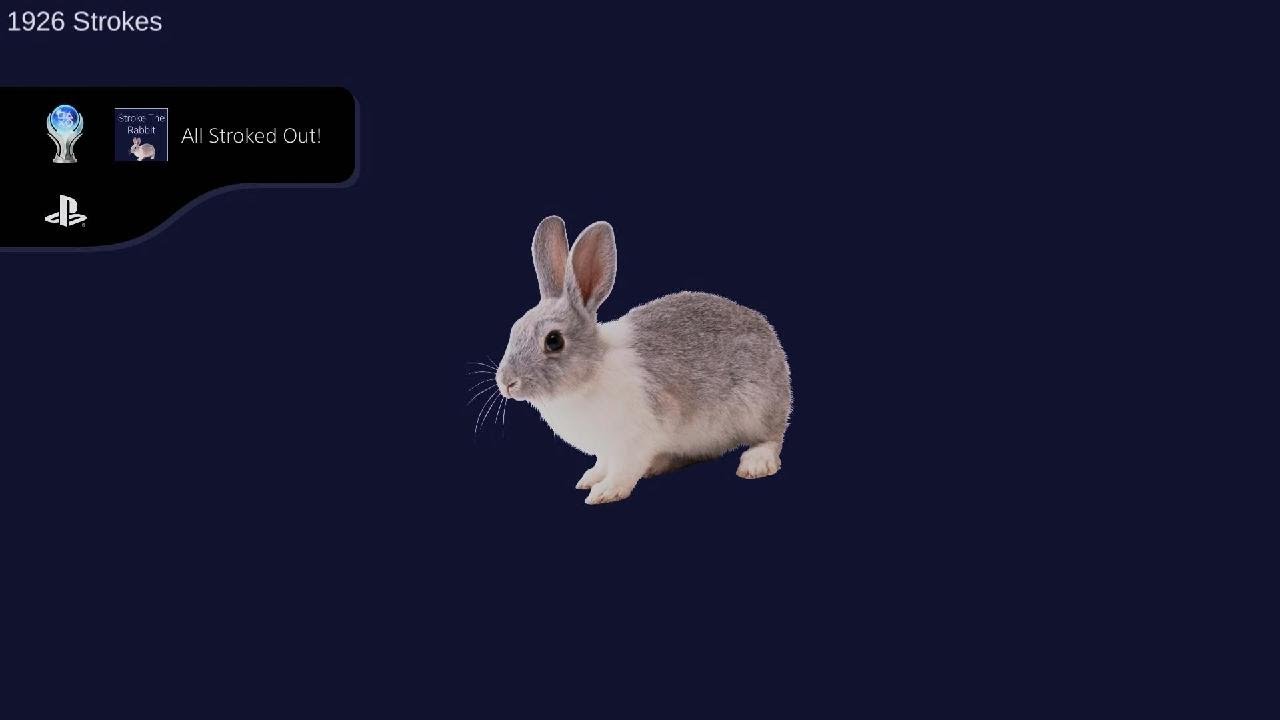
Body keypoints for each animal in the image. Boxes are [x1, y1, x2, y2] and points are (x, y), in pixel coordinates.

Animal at [495, 216, 792, 504]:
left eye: (554, 340)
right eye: (515, 329)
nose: (507, 383)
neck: (592, 371)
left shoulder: (633, 441)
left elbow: (623, 470)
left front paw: (605, 492)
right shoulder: (607, 449)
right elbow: (603, 464)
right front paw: (590, 479)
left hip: (757, 408)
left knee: (772, 437)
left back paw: (756, 463)